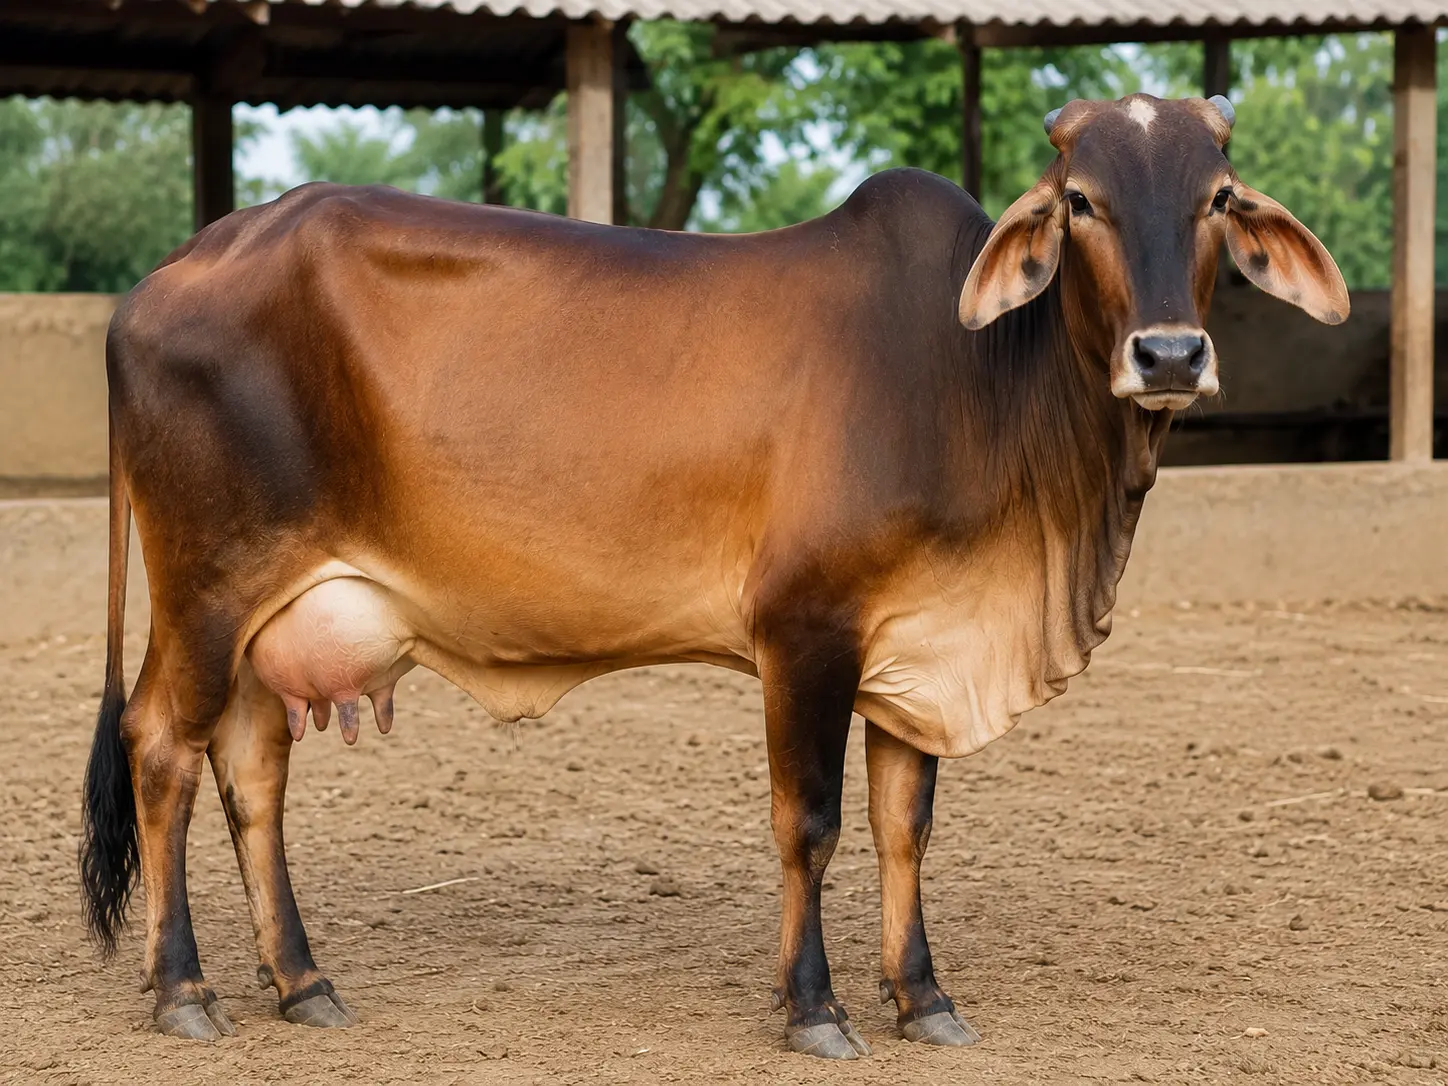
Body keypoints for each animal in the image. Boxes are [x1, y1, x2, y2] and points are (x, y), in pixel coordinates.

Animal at [80, 93, 1346, 1058]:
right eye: (1079, 199)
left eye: (1217, 198)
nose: (1169, 353)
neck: (982, 382)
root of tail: (156, 281)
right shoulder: (806, 632)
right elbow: (811, 823)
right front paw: (814, 1011)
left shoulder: (916, 644)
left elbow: (903, 827)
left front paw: (923, 998)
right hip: (206, 588)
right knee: (162, 749)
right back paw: (184, 991)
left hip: (269, 615)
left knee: (252, 772)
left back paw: (302, 982)